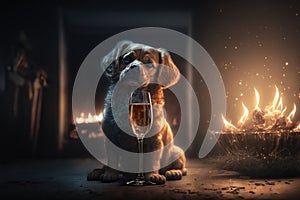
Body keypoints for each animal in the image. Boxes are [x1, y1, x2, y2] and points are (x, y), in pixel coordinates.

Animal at [86, 40, 186, 184]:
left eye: (149, 63)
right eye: (127, 59)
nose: (134, 66)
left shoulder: (154, 141)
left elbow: (152, 161)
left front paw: (152, 176)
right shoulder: (111, 138)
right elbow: (112, 160)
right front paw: (110, 174)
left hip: (177, 153)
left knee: (182, 168)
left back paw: (173, 172)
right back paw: (98, 172)